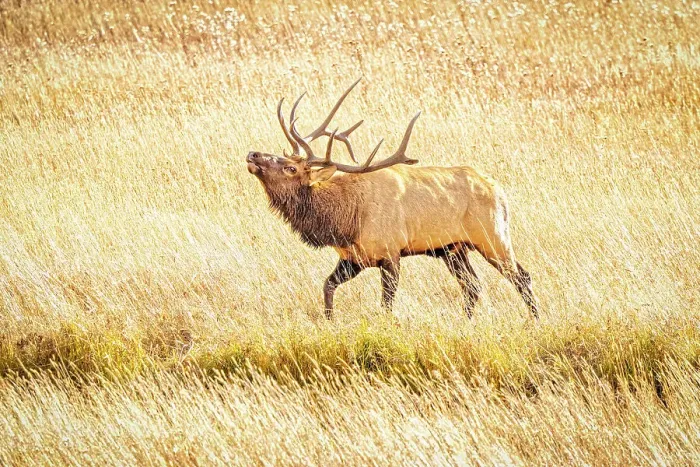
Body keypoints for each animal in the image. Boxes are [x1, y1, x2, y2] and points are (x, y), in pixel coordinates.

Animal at [246, 79, 539, 320]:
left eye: (290, 168)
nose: (253, 154)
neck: (345, 222)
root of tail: (500, 192)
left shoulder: (390, 253)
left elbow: (386, 305)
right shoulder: (353, 258)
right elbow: (327, 286)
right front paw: (330, 322)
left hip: (492, 236)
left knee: (521, 276)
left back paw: (534, 321)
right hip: (453, 249)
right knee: (473, 286)